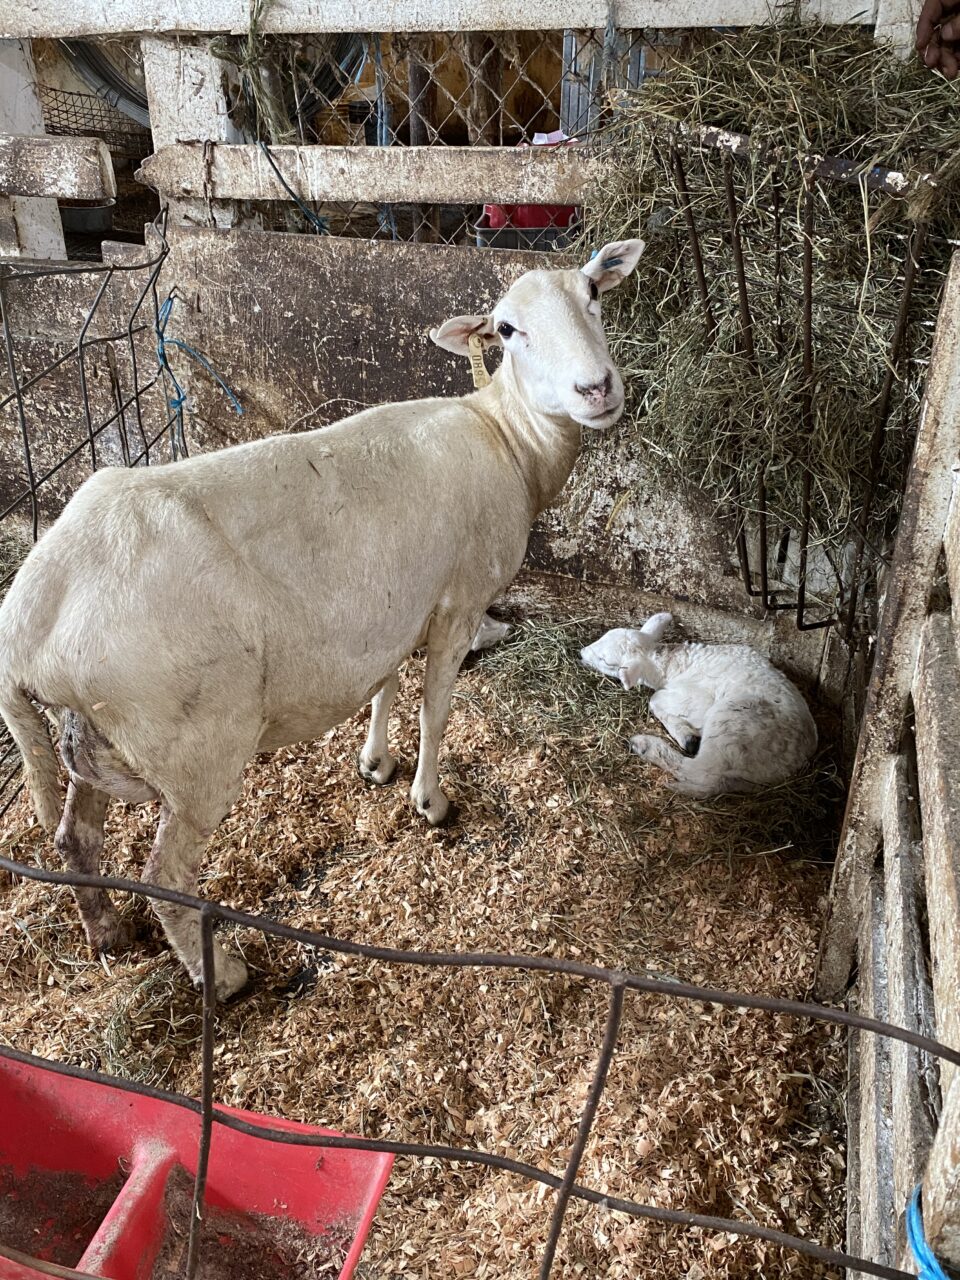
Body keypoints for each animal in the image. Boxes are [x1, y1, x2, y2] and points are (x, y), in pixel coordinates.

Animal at [0, 238, 646, 999]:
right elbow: (434, 710)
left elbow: (385, 683)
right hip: (195, 747)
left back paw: (106, 933)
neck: (506, 436)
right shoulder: (457, 601)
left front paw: (375, 762)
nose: (596, 389)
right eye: (508, 330)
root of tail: (29, 616)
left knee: (76, 837)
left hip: (93, 736)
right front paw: (430, 801)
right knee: (166, 876)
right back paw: (223, 975)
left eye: (594, 294)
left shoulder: (396, 604)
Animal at [580, 613, 817, 796]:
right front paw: (688, 736)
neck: (672, 665)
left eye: (605, 660)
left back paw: (646, 745)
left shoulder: (699, 700)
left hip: (731, 720)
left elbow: (655, 699)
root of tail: (794, 760)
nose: (581, 652)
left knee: (700, 772)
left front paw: (686, 735)